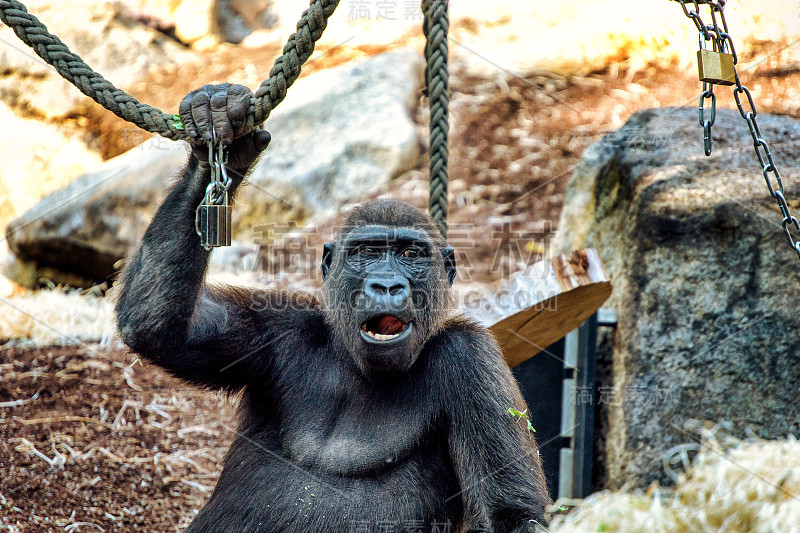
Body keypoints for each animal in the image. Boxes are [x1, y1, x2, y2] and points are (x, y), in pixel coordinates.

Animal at [115, 84, 552, 532]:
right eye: (368, 252)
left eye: (411, 253)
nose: (387, 285)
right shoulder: (277, 329)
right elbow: (160, 329)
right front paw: (219, 133)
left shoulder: (471, 358)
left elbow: (508, 514)